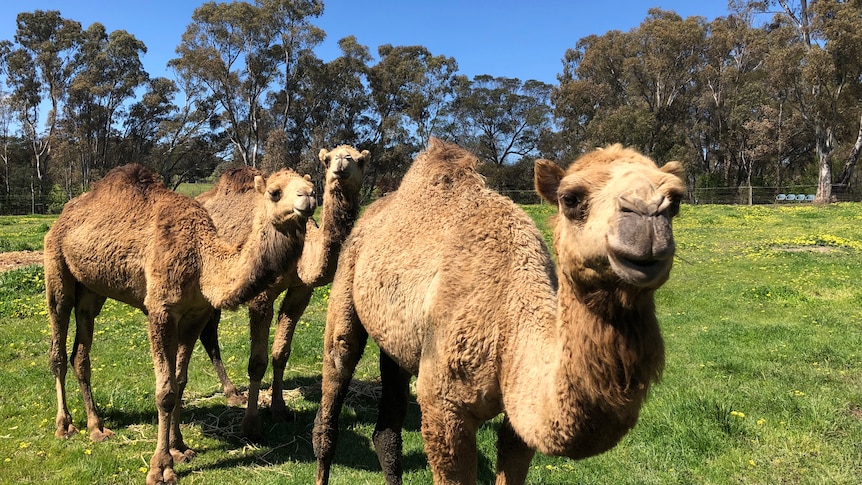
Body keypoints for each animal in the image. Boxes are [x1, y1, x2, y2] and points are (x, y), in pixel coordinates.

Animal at [45, 164, 316, 484]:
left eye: (312, 185)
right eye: (275, 192)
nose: (308, 197)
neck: (201, 260)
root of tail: (62, 216)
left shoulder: (194, 314)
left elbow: (180, 381)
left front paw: (179, 448)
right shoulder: (160, 311)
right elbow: (165, 392)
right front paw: (161, 468)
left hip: (91, 291)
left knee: (81, 354)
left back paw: (97, 428)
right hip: (56, 269)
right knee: (58, 347)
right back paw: (64, 426)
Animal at [194, 143, 370, 434]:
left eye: (359, 160)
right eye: (327, 159)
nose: (341, 164)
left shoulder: (300, 291)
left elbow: (281, 353)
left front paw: (279, 409)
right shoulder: (261, 294)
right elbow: (257, 361)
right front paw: (251, 424)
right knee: (207, 332)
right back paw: (232, 394)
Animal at [314, 138, 684, 482]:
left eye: (675, 200)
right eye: (570, 199)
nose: (646, 221)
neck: (507, 324)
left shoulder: (520, 417)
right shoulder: (442, 406)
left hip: (399, 342)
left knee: (387, 430)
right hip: (347, 278)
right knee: (337, 368)